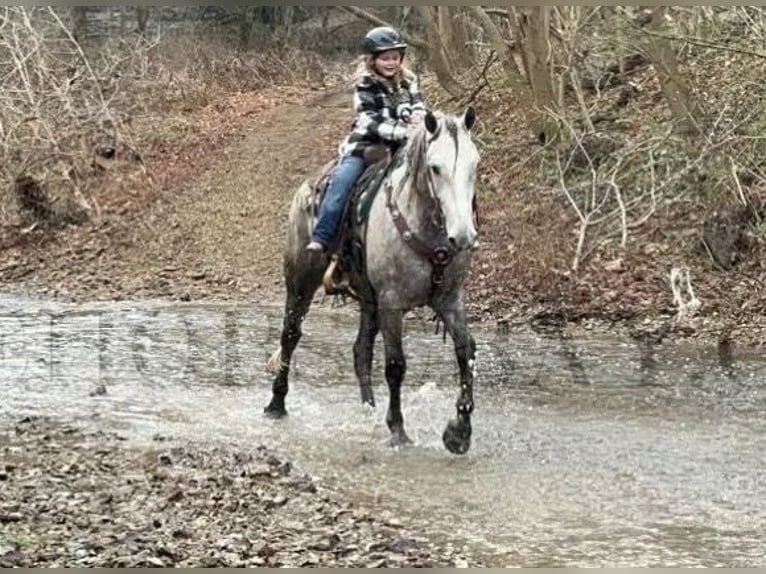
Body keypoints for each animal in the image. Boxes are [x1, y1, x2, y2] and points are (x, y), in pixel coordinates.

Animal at [264, 108, 480, 456]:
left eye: (475, 165)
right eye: (435, 168)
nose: (463, 236)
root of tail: (306, 187)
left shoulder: (450, 300)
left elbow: (466, 352)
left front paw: (459, 433)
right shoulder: (391, 303)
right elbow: (395, 365)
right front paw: (398, 430)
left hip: (369, 298)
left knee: (361, 350)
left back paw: (369, 409)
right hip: (301, 280)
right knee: (290, 335)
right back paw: (276, 403)